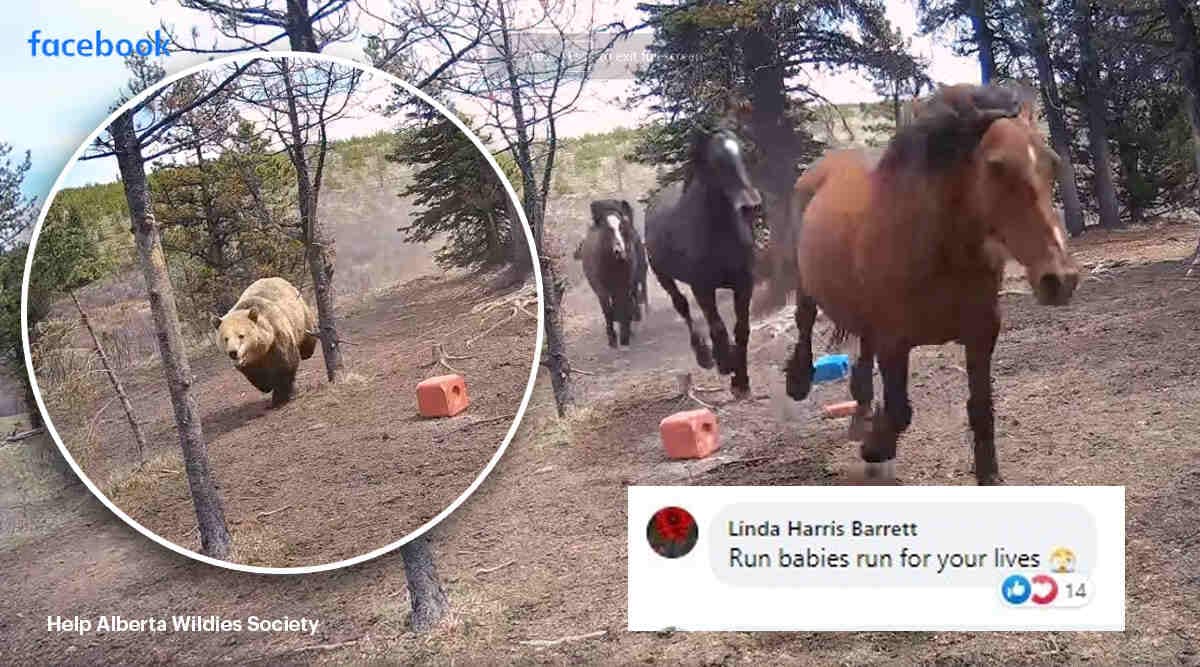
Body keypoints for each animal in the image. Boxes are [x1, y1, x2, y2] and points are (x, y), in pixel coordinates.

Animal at [211, 277, 318, 407]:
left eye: (241, 336)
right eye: (225, 338)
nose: (233, 352)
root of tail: (275, 278)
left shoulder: (277, 337)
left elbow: (285, 366)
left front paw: (280, 398)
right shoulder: (252, 362)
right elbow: (256, 375)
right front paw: (266, 386)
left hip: (300, 314)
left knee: (308, 337)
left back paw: (306, 351)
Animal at [578, 199, 648, 347]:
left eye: (621, 226)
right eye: (607, 228)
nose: (619, 250)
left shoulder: (623, 285)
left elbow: (624, 303)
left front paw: (625, 333)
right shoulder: (601, 290)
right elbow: (607, 310)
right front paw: (612, 337)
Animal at [645, 128, 764, 398]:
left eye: (742, 153)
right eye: (715, 161)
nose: (750, 206)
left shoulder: (745, 284)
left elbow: (742, 329)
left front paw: (741, 382)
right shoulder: (702, 287)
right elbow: (718, 327)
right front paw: (725, 363)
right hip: (663, 276)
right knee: (682, 306)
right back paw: (705, 356)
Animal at [769, 84, 1079, 485]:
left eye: (1052, 164)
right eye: (996, 166)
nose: (1060, 279)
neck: (938, 252)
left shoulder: (981, 334)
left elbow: (981, 409)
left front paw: (988, 476)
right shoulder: (894, 343)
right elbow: (900, 410)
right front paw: (875, 449)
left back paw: (861, 415)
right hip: (806, 283)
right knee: (805, 322)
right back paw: (800, 382)